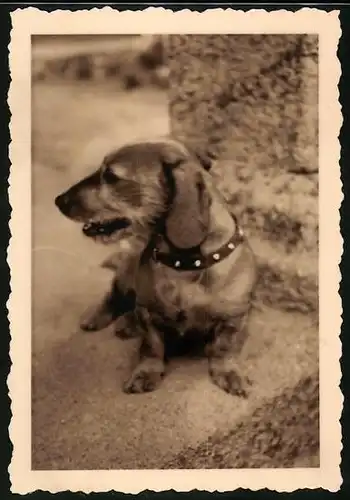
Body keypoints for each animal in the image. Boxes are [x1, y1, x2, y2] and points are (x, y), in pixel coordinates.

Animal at [54, 137, 258, 398]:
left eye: (110, 176)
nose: (58, 200)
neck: (185, 265)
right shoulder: (148, 313)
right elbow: (152, 346)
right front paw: (146, 372)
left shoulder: (235, 316)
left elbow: (224, 347)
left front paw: (229, 372)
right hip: (126, 276)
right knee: (115, 295)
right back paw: (104, 319)